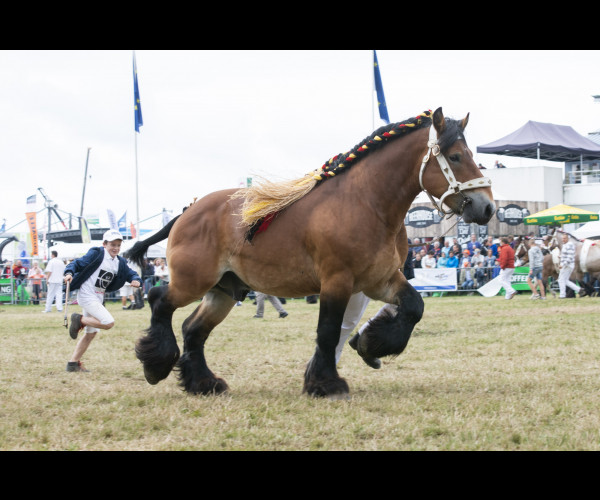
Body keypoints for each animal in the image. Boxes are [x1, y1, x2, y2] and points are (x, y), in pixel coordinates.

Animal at [124, 106, 494, 398]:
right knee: (158, 300)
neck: (365, 203)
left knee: (193, 329)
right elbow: (328, 333)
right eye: (456, 157)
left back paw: (203, 383)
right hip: (193, 282)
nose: (487, 207)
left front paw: (371, 344)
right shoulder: (336, 282)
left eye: (474, 158)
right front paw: (326, 384)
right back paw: (156, 366)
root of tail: (187, 211)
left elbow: (414, 307)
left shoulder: (380, 280)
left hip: (224, 290)